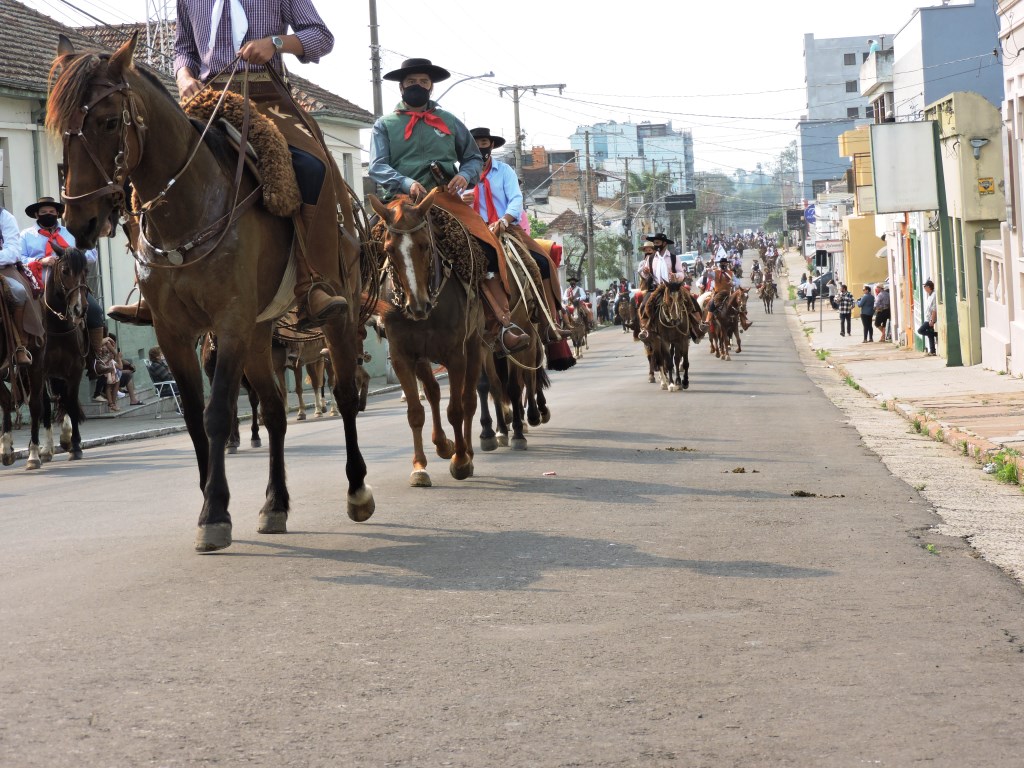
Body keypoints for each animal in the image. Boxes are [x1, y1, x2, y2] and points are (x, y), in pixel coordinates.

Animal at [48, 33, 376, 548]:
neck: (190, 207)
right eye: (63, 130)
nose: (79, 221)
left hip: (334, 316)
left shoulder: (231, 321)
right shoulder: (175, 332)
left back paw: (357, 490)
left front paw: (216, 512)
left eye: (107, 122)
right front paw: (209, 500)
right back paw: (275, 505)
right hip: (261, 335)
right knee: (276, 411)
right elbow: (193, 417)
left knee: (345, 393)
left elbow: (218, 413)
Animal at [368, 189, 483, 487]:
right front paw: (419, 467)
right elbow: (415, 412)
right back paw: (442, 444)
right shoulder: (402, 356)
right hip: (421, 357)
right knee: (432, 392)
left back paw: (466, 451)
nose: (417, 306)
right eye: (389, 249)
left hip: (474, 345)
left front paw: (461, 460)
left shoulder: (456, 355)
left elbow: (456, 409)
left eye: (424, 245)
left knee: (468, 400)